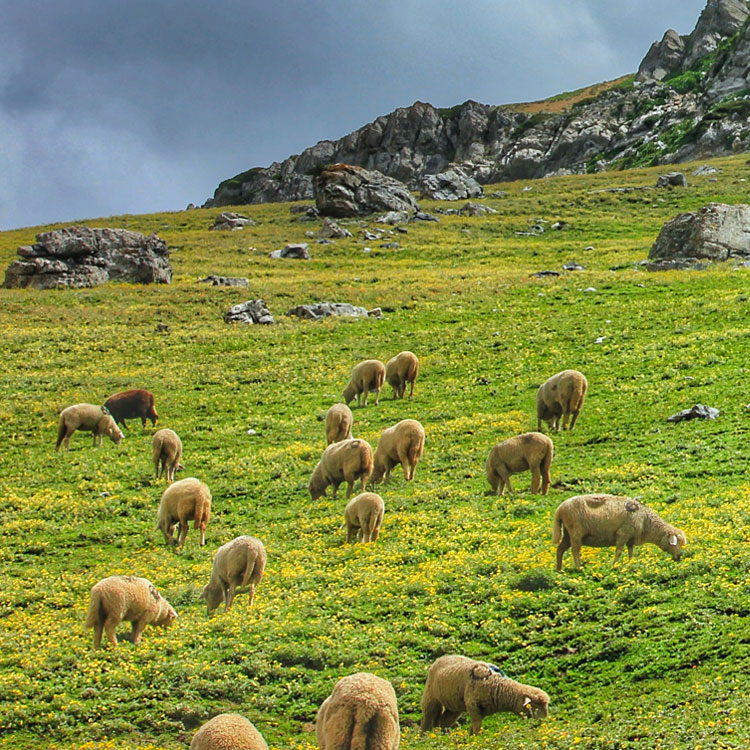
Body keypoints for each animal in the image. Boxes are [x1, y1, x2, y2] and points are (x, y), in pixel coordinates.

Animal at [420, 656, 548, 736]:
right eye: (535, 705)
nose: (542, 723)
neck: (496, 684)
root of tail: (441, 658)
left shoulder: (483, 709)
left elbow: (475, 727)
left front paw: (471, 737)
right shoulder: (472, 705)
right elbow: (477, 725)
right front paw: (476, 739)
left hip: (454, 705)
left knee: (444, 721)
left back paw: (442, 735)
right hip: (431, 697)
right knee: (427, 718)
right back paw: (424, 738)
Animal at [556, 496, 692, 572]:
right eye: (675, 543)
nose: (679, 556)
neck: (646, 521)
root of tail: (560, 509)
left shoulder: (630, 538)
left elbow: (631, 552)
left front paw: (631, 563)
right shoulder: (623, 534)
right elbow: (619, 551)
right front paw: (615, 565)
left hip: (567, 533)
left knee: (560, 549)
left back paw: (559, 569)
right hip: (575, 532)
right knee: (575, 550)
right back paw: (578, 568)